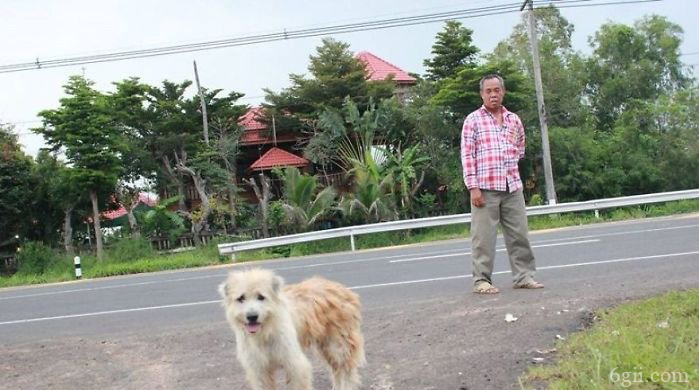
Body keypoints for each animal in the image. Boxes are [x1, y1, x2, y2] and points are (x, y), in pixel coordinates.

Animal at [220, 268, 366, 390]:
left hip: (339, 344)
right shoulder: (259, 369)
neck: (265, 332)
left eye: (261, 296)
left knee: (345, 370)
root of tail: (341, 287)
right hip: (325, 346)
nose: (252, 316)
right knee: (336, 369)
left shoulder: (294, 363)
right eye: (241, 298)